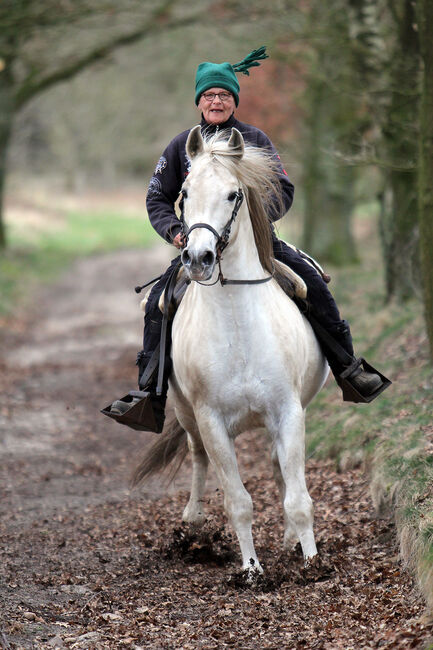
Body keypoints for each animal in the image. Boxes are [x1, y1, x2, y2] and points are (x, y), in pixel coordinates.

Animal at [132, 126, 328, 576]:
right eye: (185, 192)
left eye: (233, 194)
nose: (198, 257)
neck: (238, 325)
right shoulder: (211, 420)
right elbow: (238, 502)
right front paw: (251, 570)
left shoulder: (288, 411)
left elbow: (298, 499)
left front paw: (311, 563)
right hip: (189, 417)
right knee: (197, 457)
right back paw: (193, 522)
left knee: (277, 467)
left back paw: (290, 542)